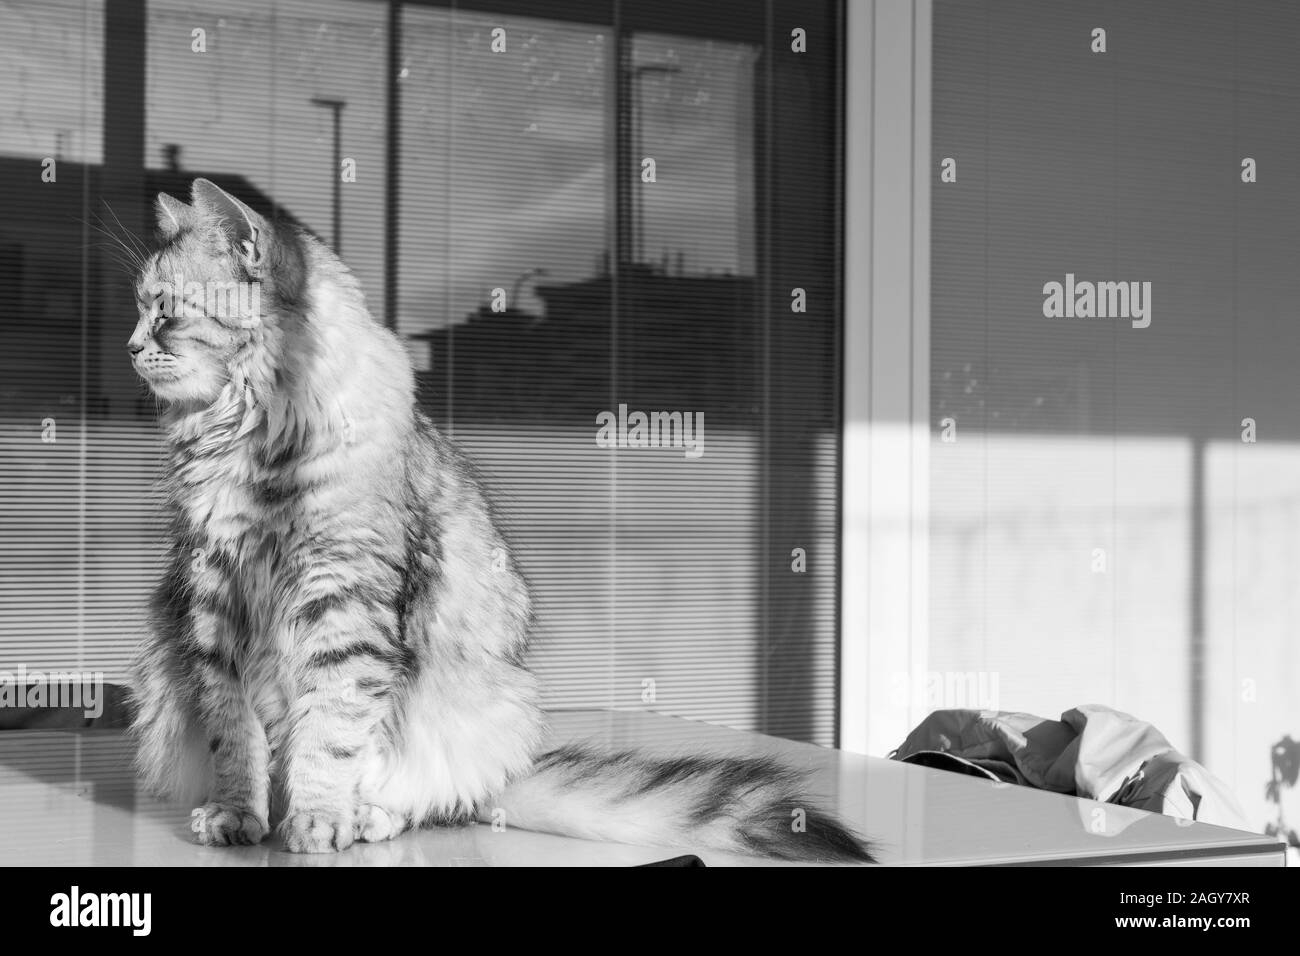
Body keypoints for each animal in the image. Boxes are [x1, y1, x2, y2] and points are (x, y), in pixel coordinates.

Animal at [124, 175, 873, 863]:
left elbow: (329, 734)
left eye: (164, 311)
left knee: (428, 797)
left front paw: (316, 820)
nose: (130, 348)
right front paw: (238, 815)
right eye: (140, 308)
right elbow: (236, 735)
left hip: (493, 707)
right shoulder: (211, 597)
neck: (250, 442)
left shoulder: (342, 598)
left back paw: (367, 817)